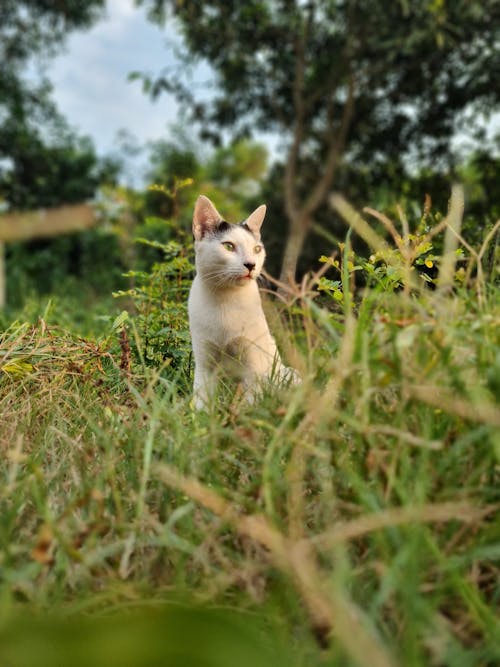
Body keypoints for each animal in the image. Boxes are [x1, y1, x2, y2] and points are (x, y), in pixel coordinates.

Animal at [188, 196, 296, 410]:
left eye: (257, 249)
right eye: (228, 246)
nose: (251, 264)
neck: (225, 299)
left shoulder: (253, 366)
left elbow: (250, 402)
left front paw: (239, 415)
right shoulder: (205, 365)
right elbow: (201, 401)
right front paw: (201, 417)